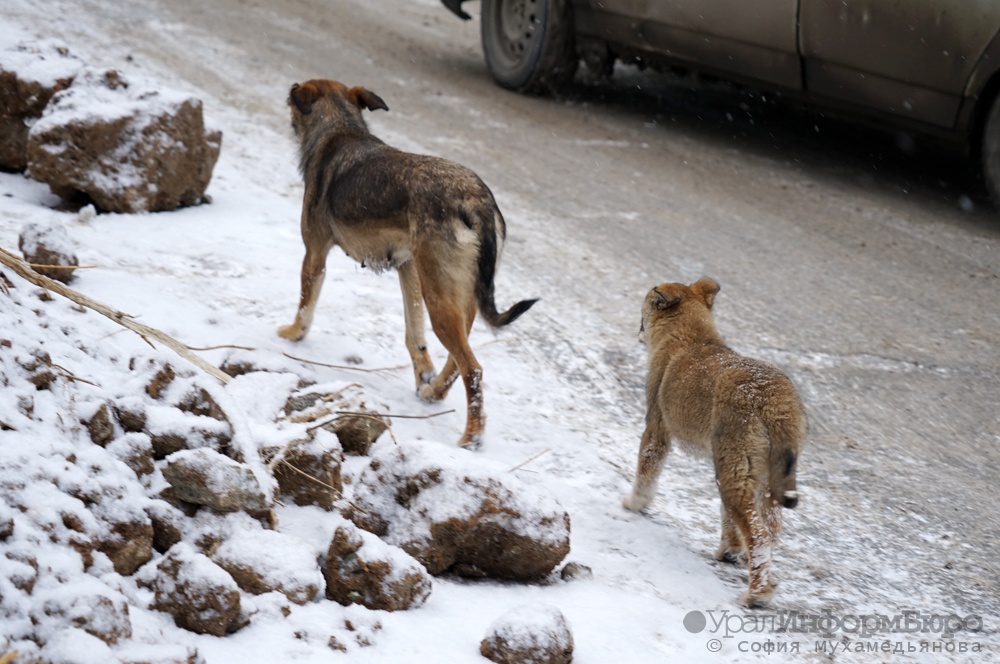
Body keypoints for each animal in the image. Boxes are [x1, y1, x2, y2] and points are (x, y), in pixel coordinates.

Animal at [278, 80, 536, 448]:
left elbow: (304, 305)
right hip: (455, 295)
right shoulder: (409, 269)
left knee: (473, 367)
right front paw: (422, 373)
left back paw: (471, 436)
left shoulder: (314, 255)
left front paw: (292, 334)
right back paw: (435, 391)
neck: (341, 128)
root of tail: (477, 200)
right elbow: (414, 334)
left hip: (440, 299)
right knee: (459, 359)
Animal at [624, 276, 804, 608]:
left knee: (759, 534)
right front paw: (730, 550)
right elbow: (727, 521)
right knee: (770, 530)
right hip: (759, 476)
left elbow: (646, 471)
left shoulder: (656, 428)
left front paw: (634, 504)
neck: (691, 336)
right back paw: (762, 578)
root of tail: (772, 395)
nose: (638, 330)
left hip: (732, 473)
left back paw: (756, 595)